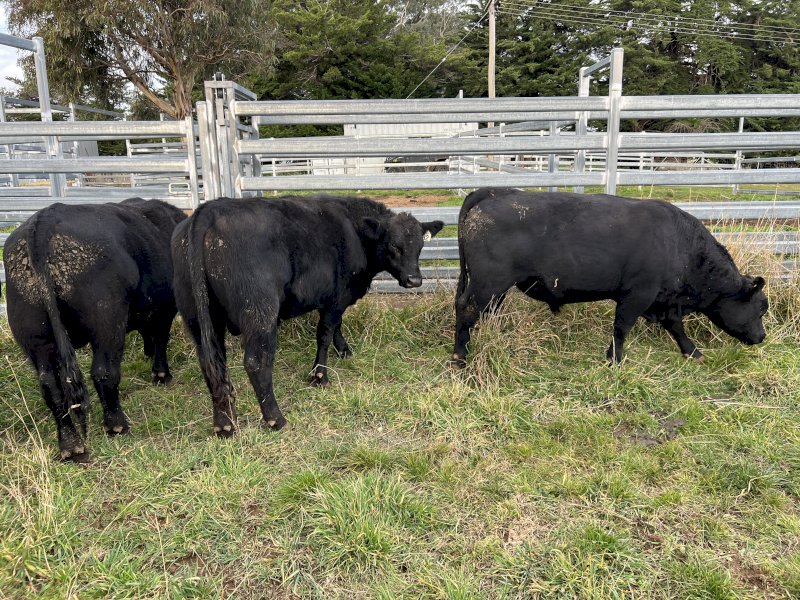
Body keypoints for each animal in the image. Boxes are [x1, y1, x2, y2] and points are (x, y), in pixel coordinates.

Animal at [4, 198, 186, 461]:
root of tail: (44, 219)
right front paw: (161, 374)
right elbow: (160, 338)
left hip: (35, 337)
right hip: (107, 322)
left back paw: (70, 445)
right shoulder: (165, 308)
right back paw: (116, 425)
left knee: (51, 387)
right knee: (104, 372)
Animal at [171, 195, 444, 436]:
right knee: (257, 362)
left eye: (420, 247)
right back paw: (275, 419)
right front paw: (320, 375)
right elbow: (325, 333)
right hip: (259, 312)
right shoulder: (337, 297)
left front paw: (344, 351)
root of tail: (209, 210)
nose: (415, 280)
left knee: (212, 364)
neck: (355, 231)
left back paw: (224, 425)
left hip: (197, 317)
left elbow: (336, 327)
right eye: (394, 246)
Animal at [453, 188, 768, 365]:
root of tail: (493, 194)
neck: (680, 244)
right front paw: (615, 360)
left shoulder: (663, 300)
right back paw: (459, 357)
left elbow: (675, 326)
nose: (762, 337)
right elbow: (622, 327)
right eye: (760, 309)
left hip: (495, 287)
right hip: (487, 283)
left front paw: (693, 353)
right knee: (466, 310)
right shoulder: (638, 294)